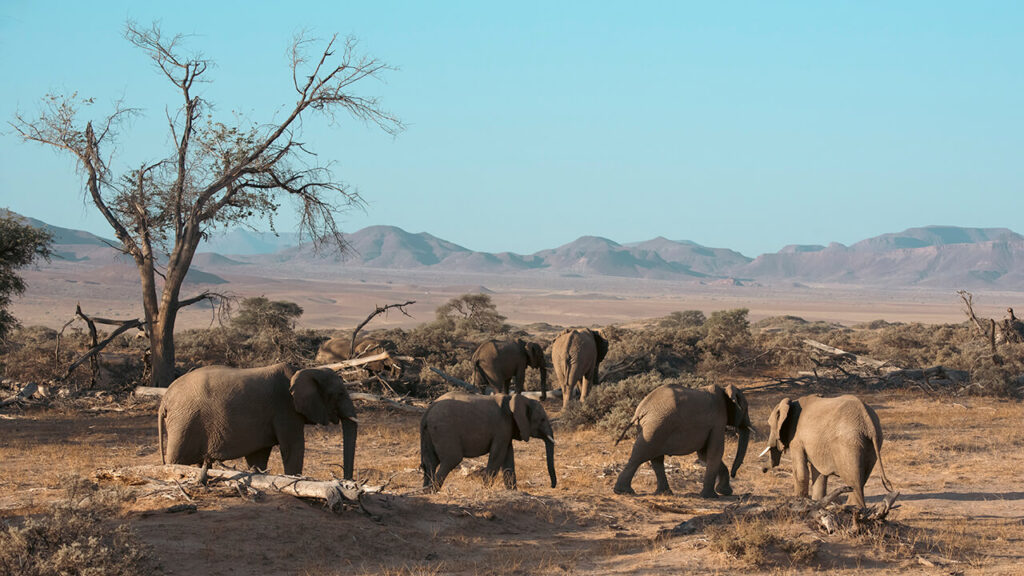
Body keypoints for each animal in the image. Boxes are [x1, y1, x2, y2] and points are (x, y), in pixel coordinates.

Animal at [158, 363, 358, 483]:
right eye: (340, 394)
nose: (348, 482)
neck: (306, 370)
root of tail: (165, 399)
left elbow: (258, 456)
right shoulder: (285, 408)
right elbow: (292, 448)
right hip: (184, 421)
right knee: (176, 460)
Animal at [420, 392, 556, 491]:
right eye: (542, 419)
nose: (552, 486)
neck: (515, 399)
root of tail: (429, 409)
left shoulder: (506, 430)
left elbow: (508, 458)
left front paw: (512, 492)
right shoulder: (502, 427)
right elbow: (497, 456)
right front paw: (485, 490)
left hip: (429, 432)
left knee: (430, 462)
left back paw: (426, 491)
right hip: (444, 430)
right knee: (452, 458)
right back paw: (432, 491)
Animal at [613, 383, 755, 498]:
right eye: (746, 409)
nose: (734, 474)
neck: (725, 391)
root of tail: (640, 410)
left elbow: (704, 455)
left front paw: (724, 492)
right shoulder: (718, 420)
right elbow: (715, 452)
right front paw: (712, 496)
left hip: (652, 427)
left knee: (655, 458)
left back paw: (663, 493)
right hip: (657, 426)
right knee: (641, 454)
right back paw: (624, 491)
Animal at [761, 394, 893, 508]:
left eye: (770, 426)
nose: (763, 470)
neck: (791, 403)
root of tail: (868, 422)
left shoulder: (796, 439)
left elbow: (800, 472)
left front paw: (798, 502)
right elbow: (819, 472)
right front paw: (816, 502)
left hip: (848, 443)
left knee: (852, 478)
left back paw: (854, 507)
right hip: (873, 441)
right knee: (862, 477)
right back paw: (852, 506)